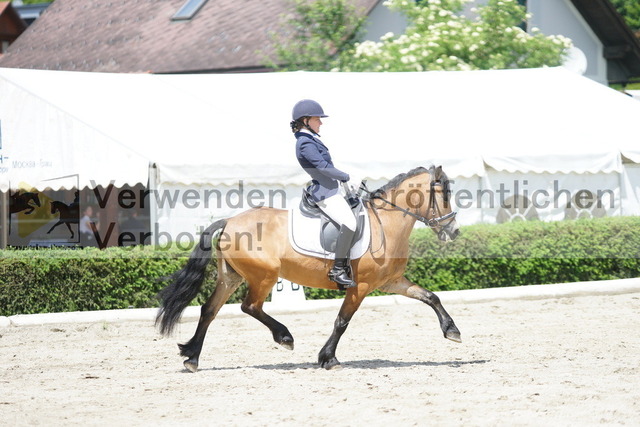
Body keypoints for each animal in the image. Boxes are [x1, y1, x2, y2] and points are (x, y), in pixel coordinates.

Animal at [156, 165, 461, 372]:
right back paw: (284, 337)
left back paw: (192, 357)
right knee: (250, 306)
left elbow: (431, 296)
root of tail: (230, 220)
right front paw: (328, 358)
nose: (454, 232)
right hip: (264, 276)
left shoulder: (391, 281)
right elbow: (342, 321)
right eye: (444, 195)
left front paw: (452, 331)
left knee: (210, 310)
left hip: (230, 277)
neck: (385, 223)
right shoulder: (360, 286)